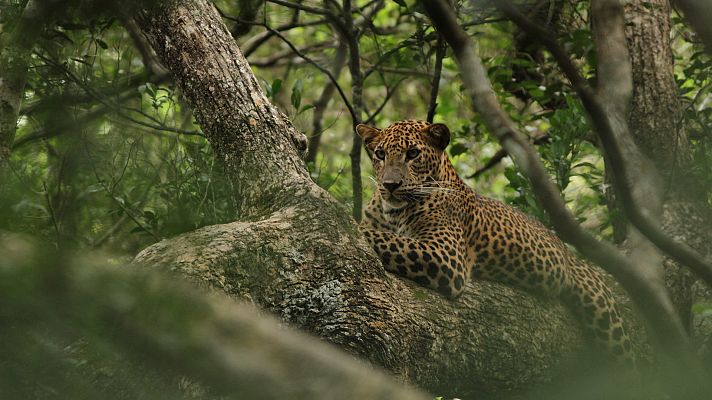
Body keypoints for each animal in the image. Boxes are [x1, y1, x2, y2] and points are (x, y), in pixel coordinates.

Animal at [356, 119, 633, 364]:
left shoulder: (446, 255)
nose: (390, 185)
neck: (392, 213)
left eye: (413, 153)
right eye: (380, 154)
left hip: (603, 311)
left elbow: (385, 238)